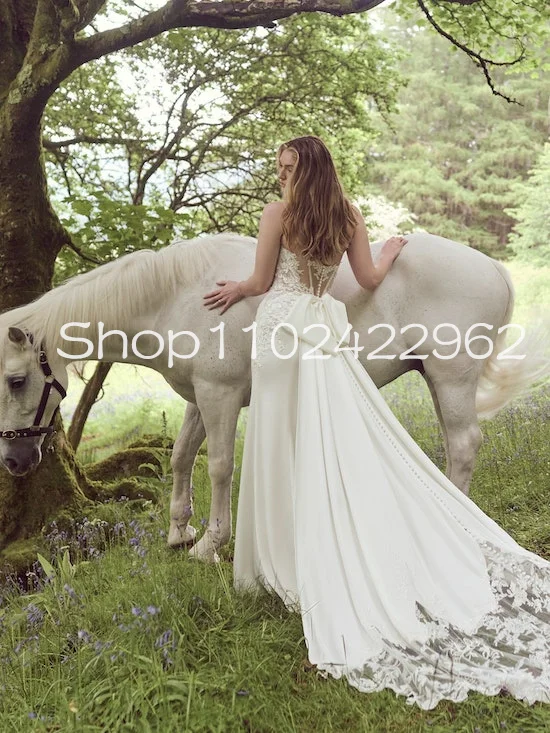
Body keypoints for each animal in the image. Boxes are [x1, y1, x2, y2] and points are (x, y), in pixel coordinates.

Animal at [0, 234, 548, 560]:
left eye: (16, 380)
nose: (14, 460)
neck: (178, 296)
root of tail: (494, 269)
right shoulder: (199, 396)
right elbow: (181, 457)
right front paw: (179, 532)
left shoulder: (219, 396)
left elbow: (220, 465)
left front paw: (211, 544)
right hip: (437, 379)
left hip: (452, 378)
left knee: (464, 445)